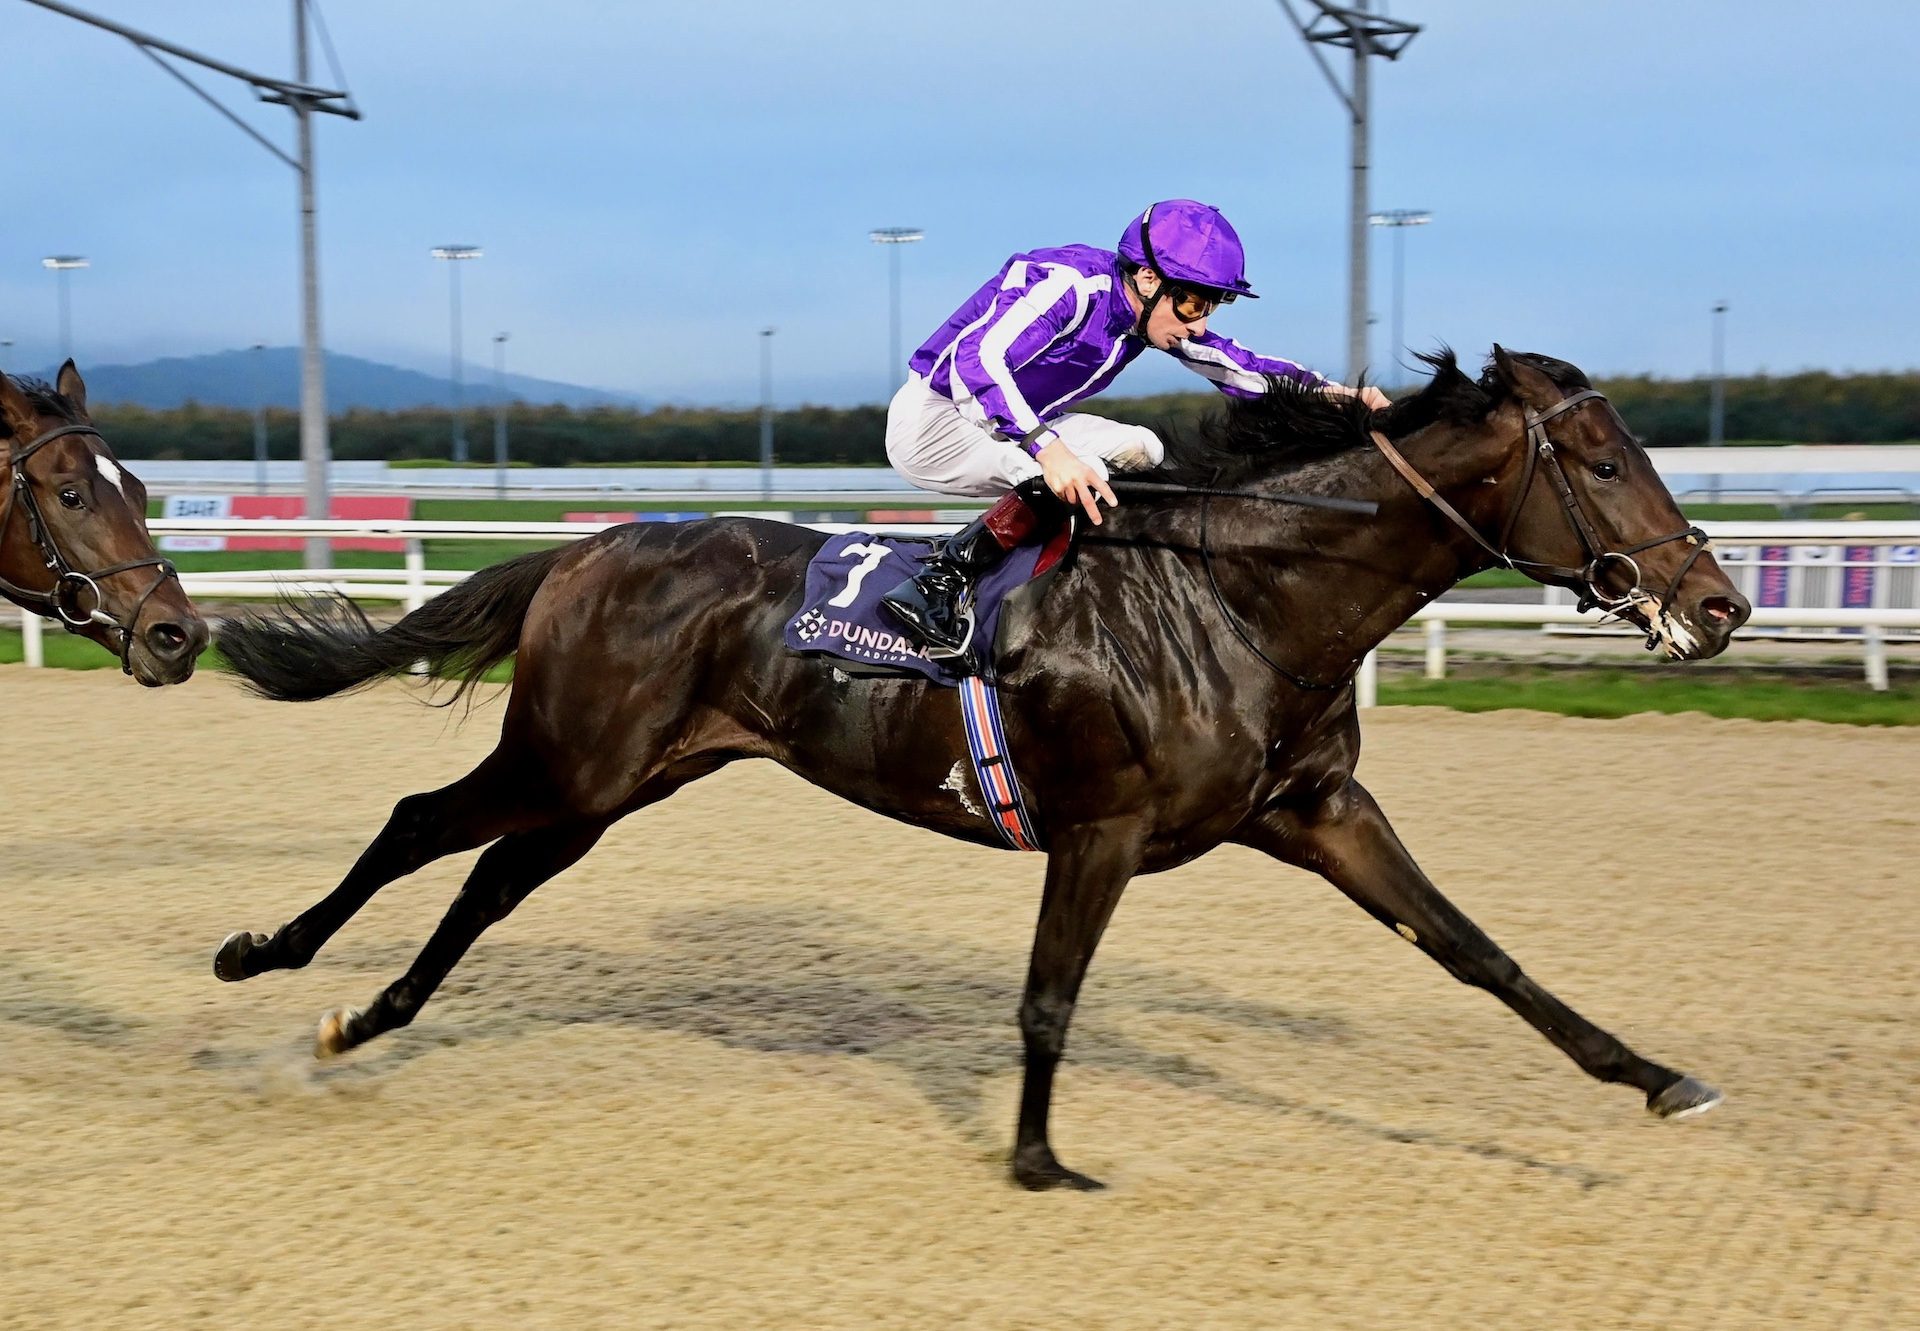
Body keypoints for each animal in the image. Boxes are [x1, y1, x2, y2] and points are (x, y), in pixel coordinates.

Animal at [214, 347, 1758, 1190]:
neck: (1245, 594)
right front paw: (1037, 1155)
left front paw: (1655, 1076)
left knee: (486, 880)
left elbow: (1479, 952)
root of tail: (589, 547)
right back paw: (262, 954)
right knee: (419, 821)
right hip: (572, 753)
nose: (1723, 603)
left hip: (619, 780)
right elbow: (1048, 997)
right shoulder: (1103, 830)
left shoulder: (1319, 809)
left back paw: (367, 1016)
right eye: (1605, 464)